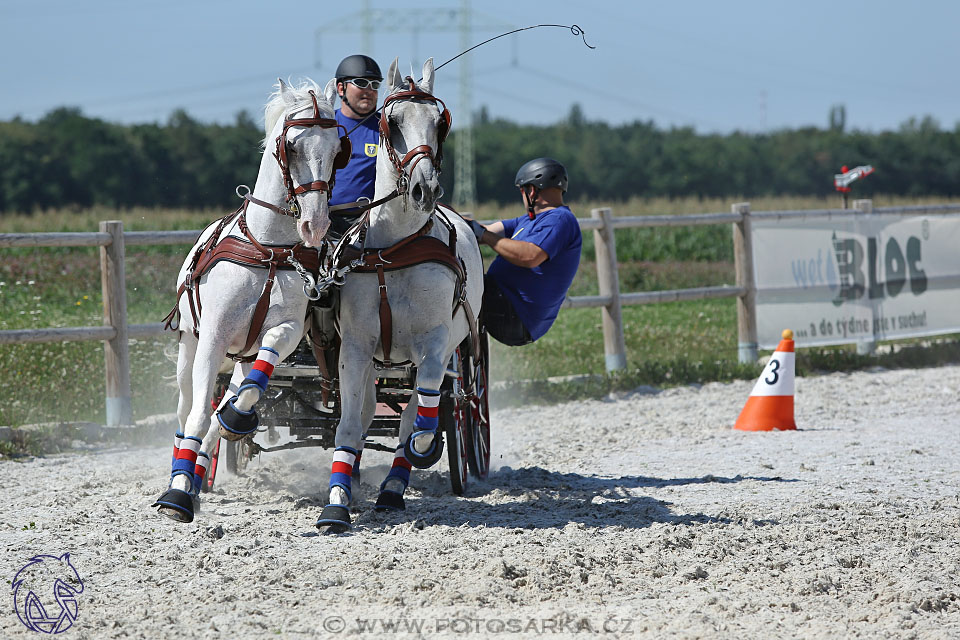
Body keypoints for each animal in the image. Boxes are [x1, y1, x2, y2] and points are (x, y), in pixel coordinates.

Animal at [150, 77, 344, 524]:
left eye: (335, 150)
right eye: (291, 147)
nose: (316, 225)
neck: (268, 250)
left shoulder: (285, 332)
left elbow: (252, 386)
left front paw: (238, 417)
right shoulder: (213, 337)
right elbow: (198, 416)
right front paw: (176, 496)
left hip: (241, 355)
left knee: (233, 397)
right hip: (190, 346)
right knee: (187, 410)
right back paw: (182, 477)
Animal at [316, 58, 484, 528]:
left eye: (440, 123)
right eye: (392, 122)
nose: (425, 190)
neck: (395, 250)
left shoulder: (435, 345)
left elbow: (422, 414)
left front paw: (422, 449)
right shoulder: (355, 347)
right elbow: (350, 424)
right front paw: (336, 503)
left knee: (421, 410)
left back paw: (394, 486)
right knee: (367, 412)